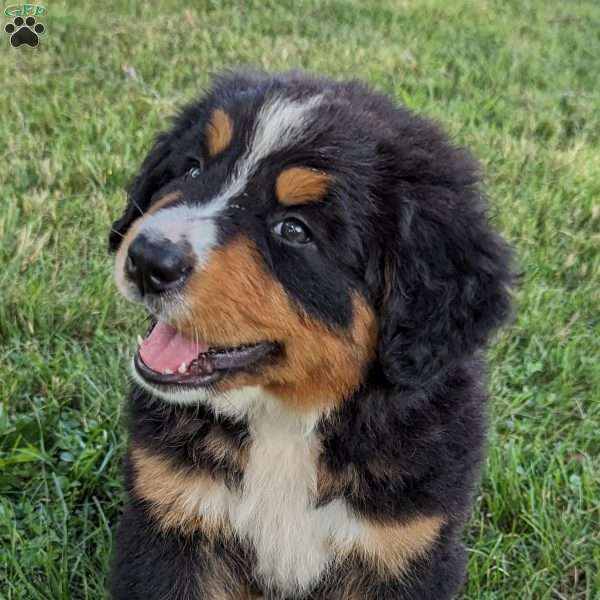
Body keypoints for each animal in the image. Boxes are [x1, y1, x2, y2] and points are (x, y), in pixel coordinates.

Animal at [106, 68, 510, 596]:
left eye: (295, 230)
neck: (286, 421)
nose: (148, 260)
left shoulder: (402, 545)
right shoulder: (173, 514)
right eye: (191, 169)